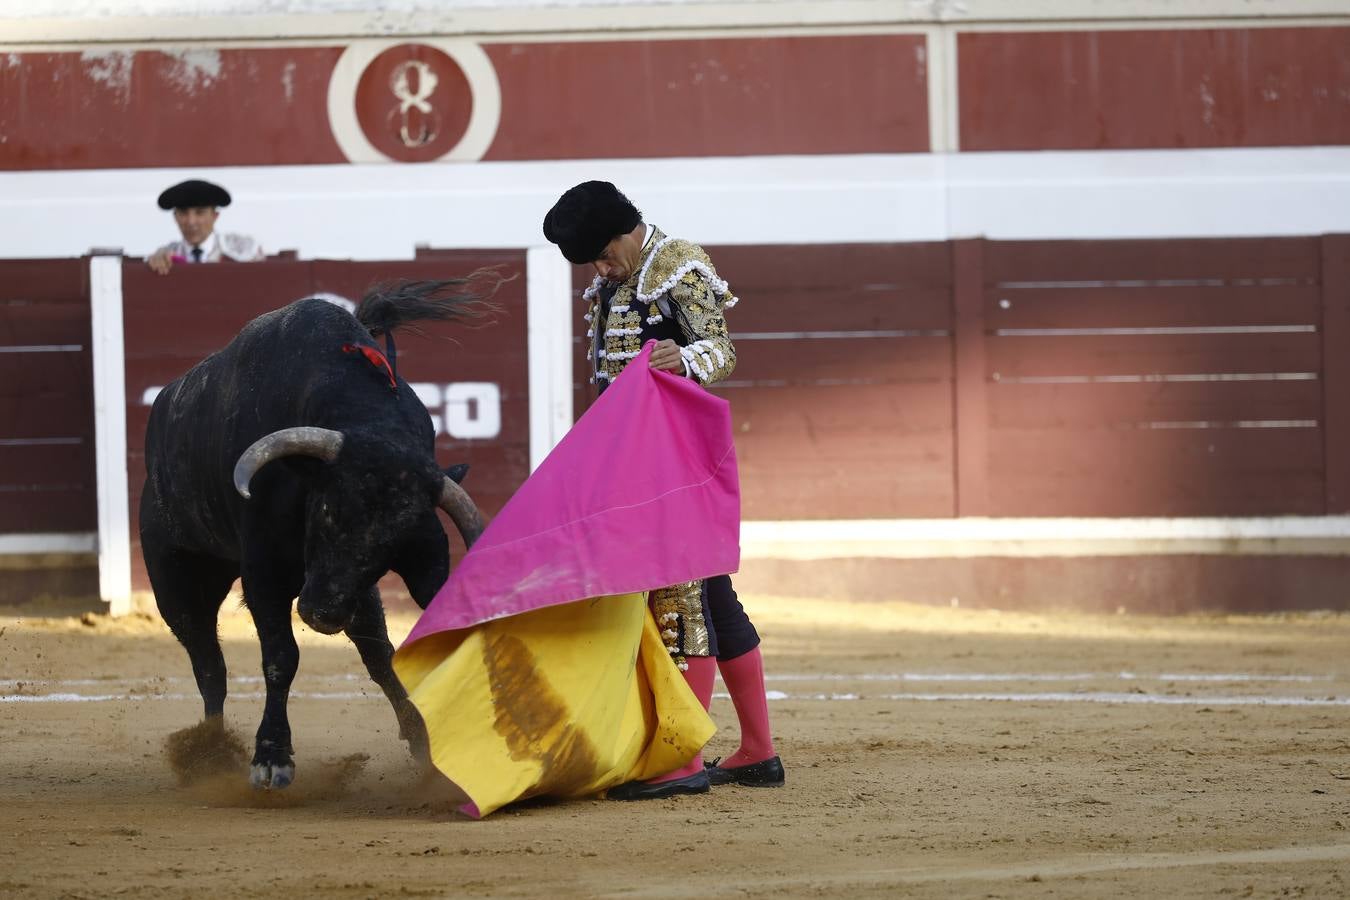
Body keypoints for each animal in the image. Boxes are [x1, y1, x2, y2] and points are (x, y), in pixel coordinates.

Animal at [139, 279, 496, 788]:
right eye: (327, 510)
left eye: (389, 549)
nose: (322, 614)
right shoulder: (264, 576)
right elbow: (280, 657)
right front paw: (271, 757)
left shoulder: (416, 553)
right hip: (178, 582)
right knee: (209, 664)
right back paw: (209, 754)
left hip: (350, 597)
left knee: (376, 652)